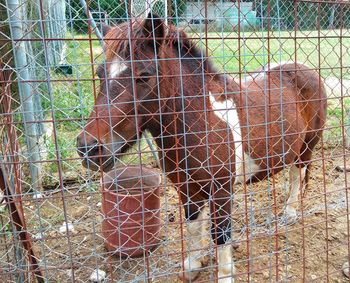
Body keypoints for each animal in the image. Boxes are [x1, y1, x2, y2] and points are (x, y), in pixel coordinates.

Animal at [76, 12, 328, 282]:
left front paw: (225, 274)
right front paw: (193, 265)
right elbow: (194, 225)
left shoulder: (222, 191)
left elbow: (220, 234)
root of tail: (305, 69)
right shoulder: (187, 189)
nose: (88, 147)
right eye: (100, 74)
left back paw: (289, 213)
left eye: (144, 75)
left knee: (296, 176)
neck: (201, 120)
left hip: (306, 148)